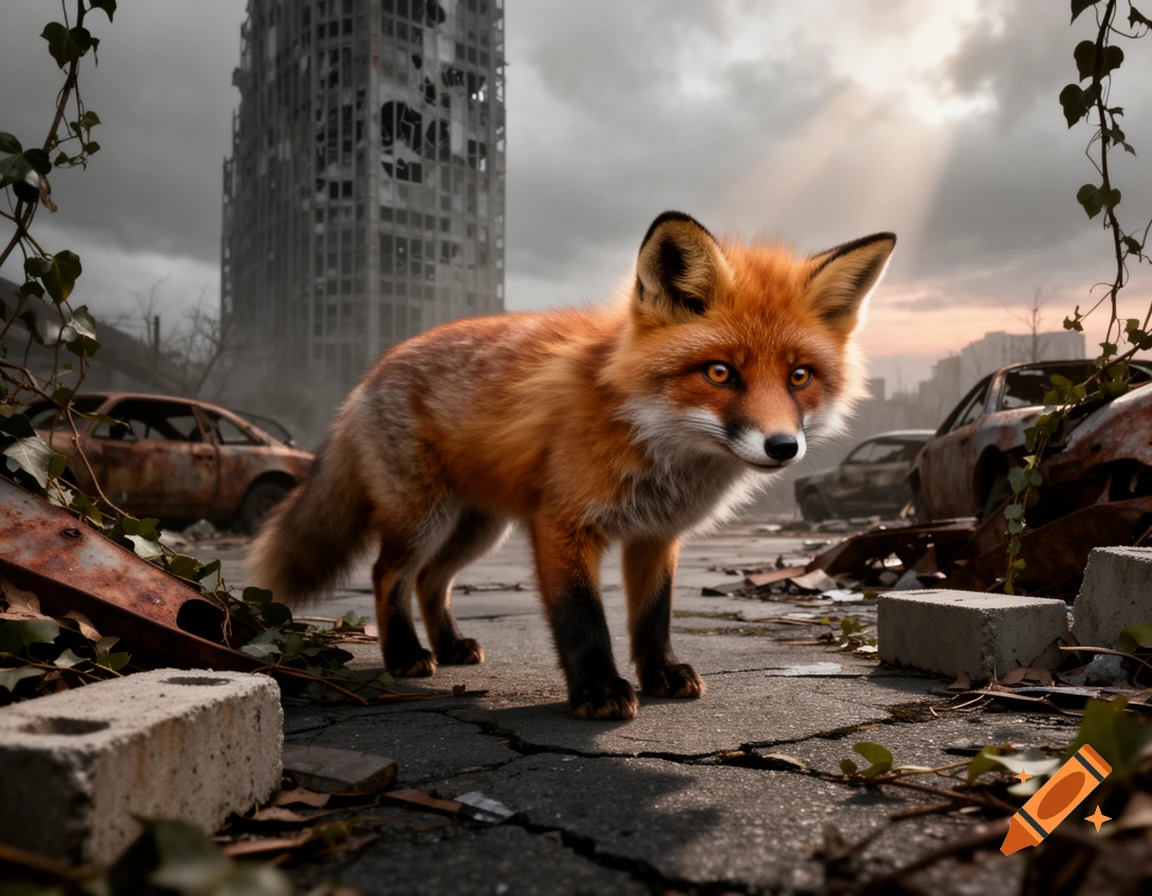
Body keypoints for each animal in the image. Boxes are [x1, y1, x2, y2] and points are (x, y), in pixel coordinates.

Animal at [248, 211, 895, 720]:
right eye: (719, 373)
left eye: (799, 377)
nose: (783, 447)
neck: (655, 442)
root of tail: (370, 374)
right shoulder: (562, 524)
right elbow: (583, 617)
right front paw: (599, 691)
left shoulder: (657, 535)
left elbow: (653, 616)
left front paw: (660, 674)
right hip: (423, 518)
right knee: (390, 574)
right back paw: (406, 655)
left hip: (477, 529)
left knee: (432, 579)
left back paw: (451, 645)